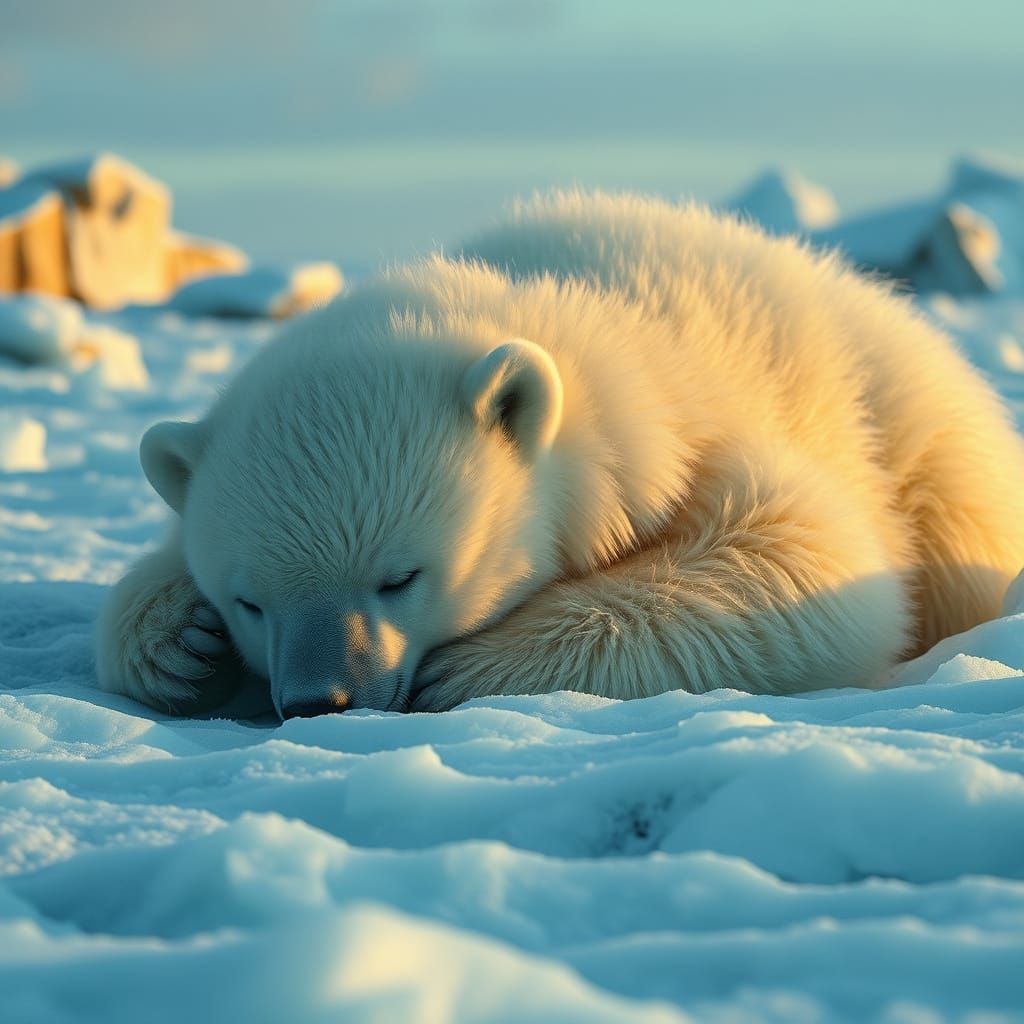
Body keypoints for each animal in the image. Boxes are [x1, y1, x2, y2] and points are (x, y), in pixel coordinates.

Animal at [95, 190, 1024, 719]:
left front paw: (466, 670)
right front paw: (180, 643)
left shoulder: (693, 434)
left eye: (401, 578)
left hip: (913, 437)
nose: (318, 701)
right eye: (249, 601)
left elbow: (807, 553)